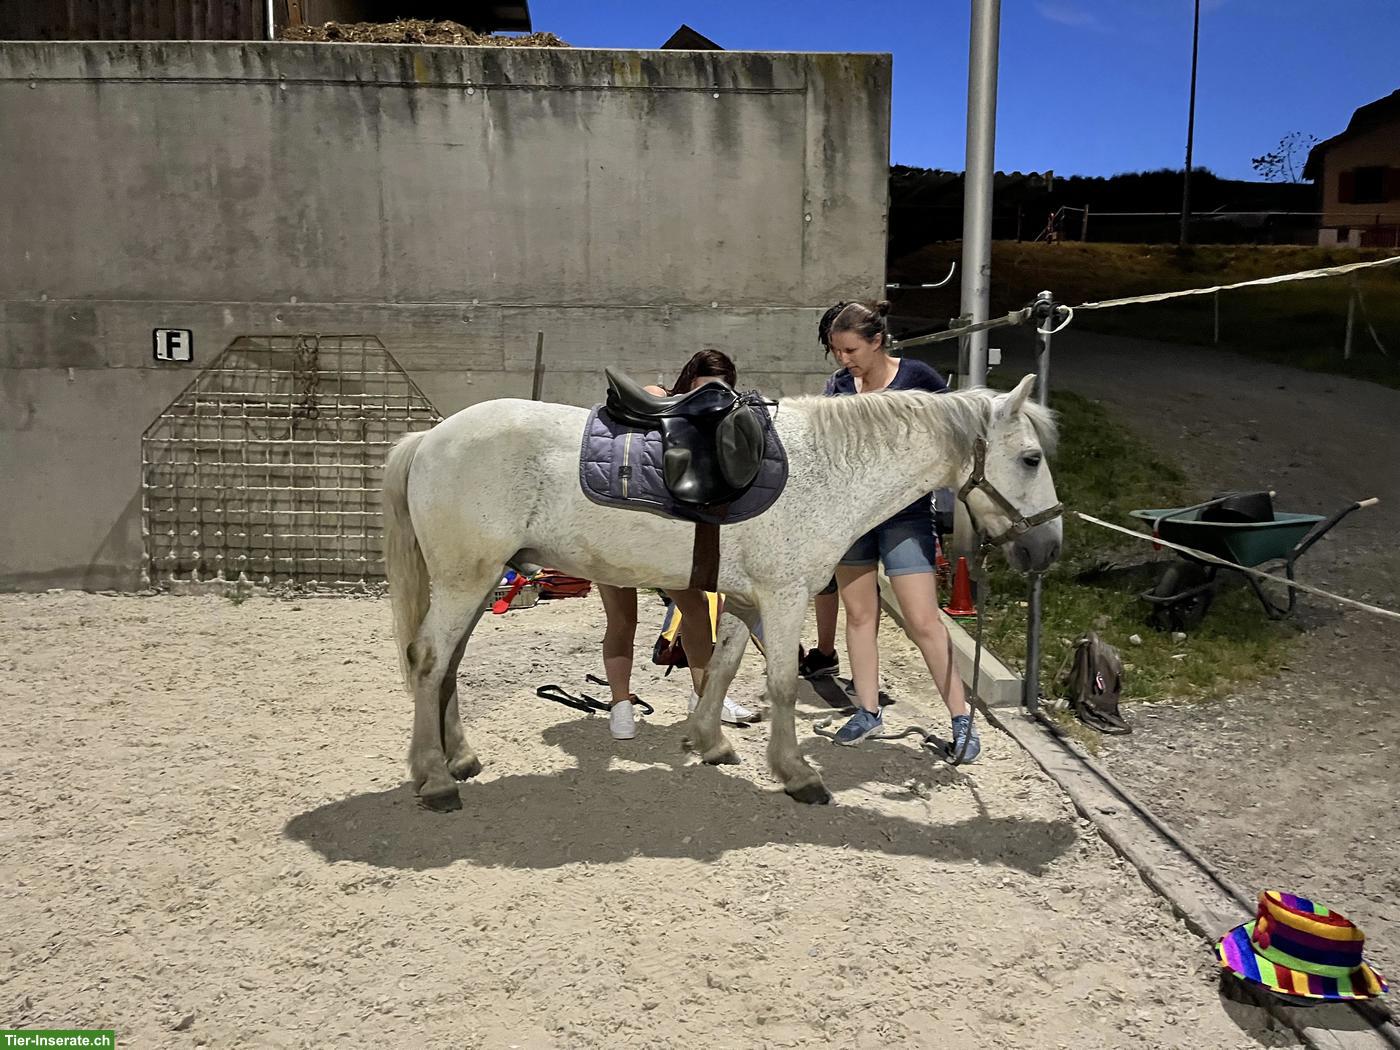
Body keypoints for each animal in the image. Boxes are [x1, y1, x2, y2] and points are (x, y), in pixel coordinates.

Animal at [382, 373, 1062, 810]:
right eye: (1031, 458)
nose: (1048, 549)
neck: (829, 468)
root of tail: (430, 438)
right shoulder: (785, 598)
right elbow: (781, 682)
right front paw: (795, 772)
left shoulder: (742, 598)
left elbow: (725, 665)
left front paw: (709, 741)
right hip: (465, 581)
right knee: (429, 661)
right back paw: (435, 779)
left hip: (472, 585)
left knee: (447, 666)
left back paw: (459, 758)